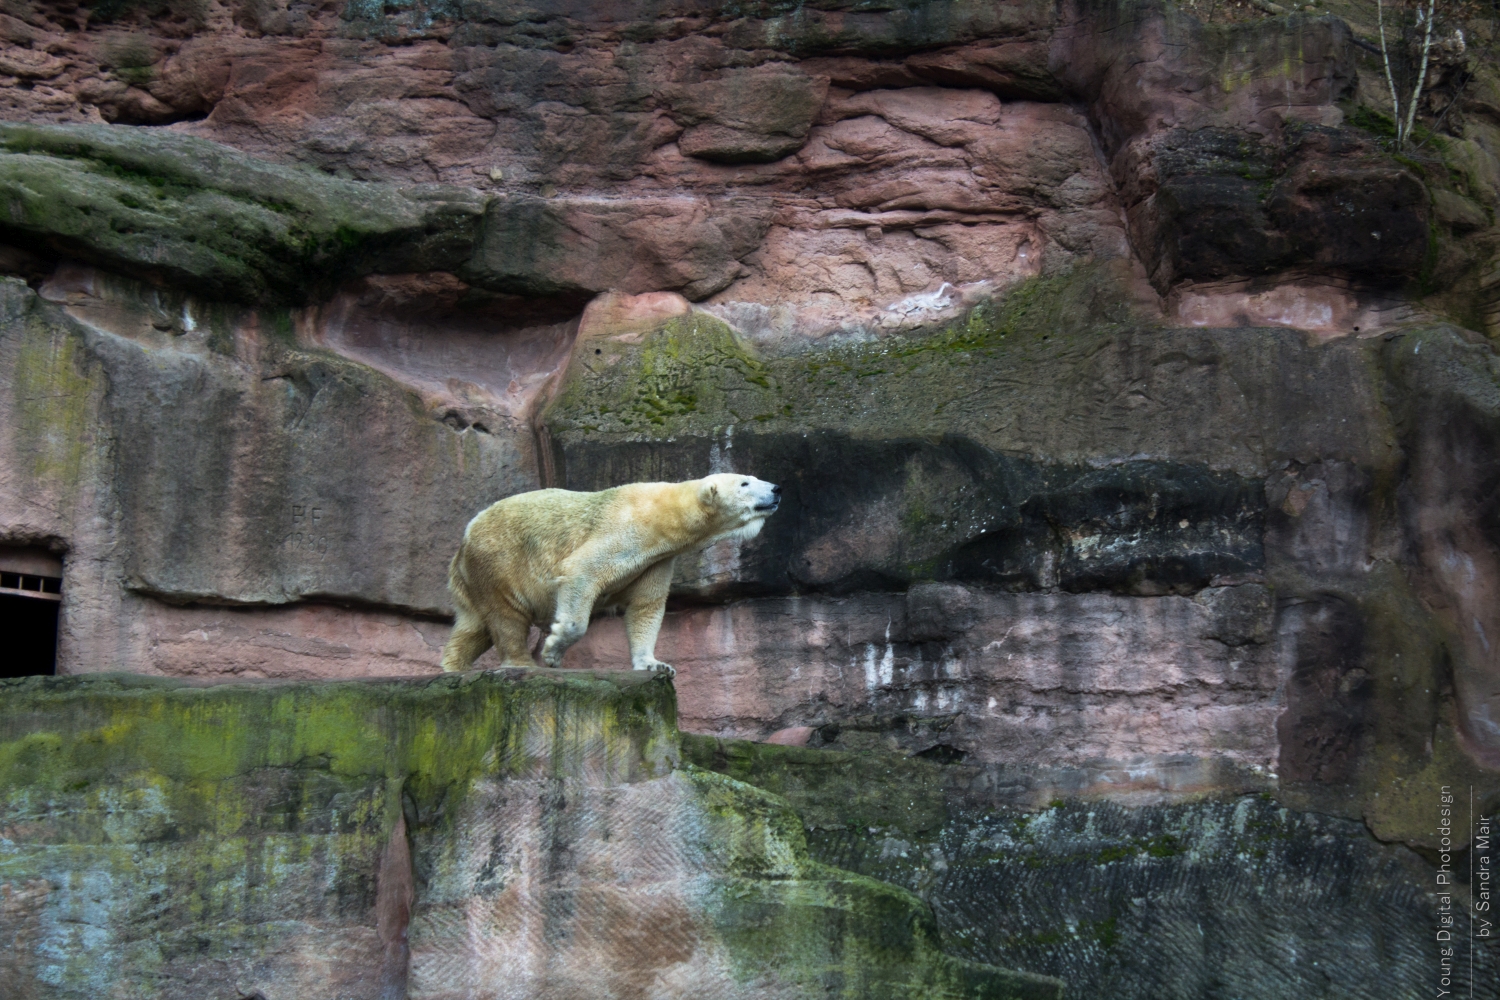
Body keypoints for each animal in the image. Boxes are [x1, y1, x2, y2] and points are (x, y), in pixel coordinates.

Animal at [438, 476, 780, 677]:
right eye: (745, 483)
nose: (777, 488)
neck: (663, 515)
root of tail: (464, 540)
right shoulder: (625, 532)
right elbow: (582, 572)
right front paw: (553, 651)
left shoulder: (657, 560)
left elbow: (645, 607)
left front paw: (655, 664)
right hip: (500, 561)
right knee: (506, 616)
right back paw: (522, 663)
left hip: (472, 579)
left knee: (474, 626)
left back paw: (454, 667)